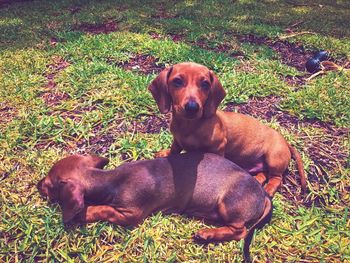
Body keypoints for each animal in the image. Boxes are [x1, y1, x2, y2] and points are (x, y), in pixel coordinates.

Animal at [39, 153, 274, 262]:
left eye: (49, 184)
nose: (37, 184)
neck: (112, 180)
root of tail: (264, 194)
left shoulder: (130, 215)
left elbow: (103, 209)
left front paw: (84, 213)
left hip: (228, 205)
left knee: (239, 231)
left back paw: (207, 234)